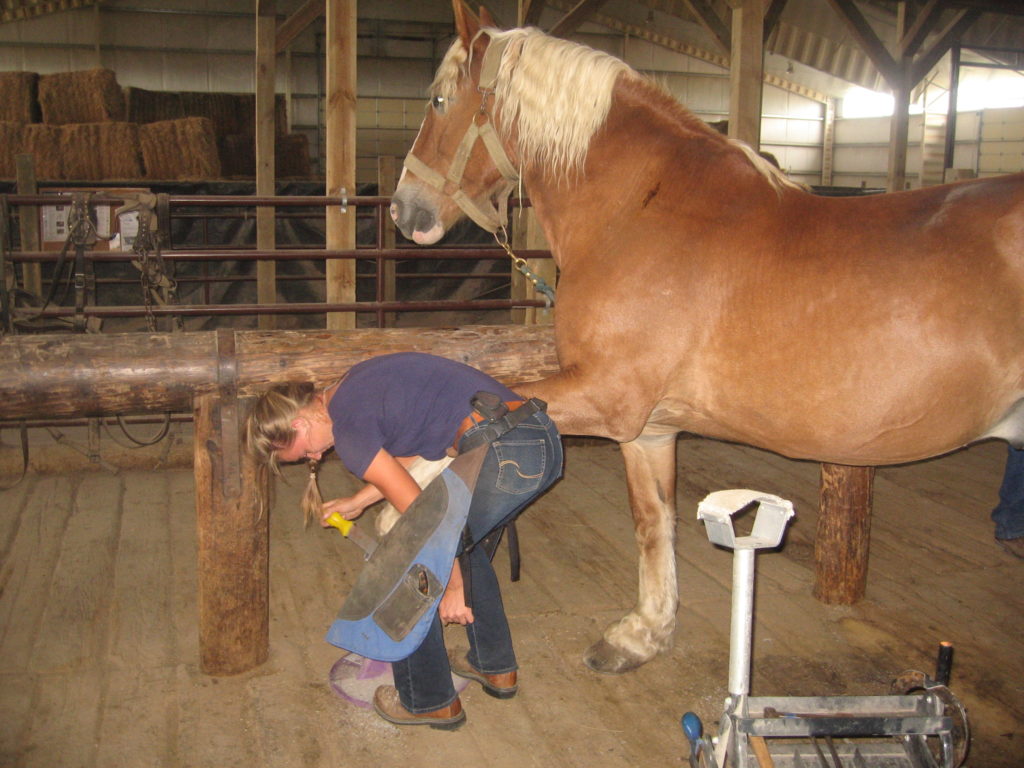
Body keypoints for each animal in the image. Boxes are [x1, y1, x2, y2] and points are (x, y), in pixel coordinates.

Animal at [387, 1, 1019, 671]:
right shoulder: (648, 428)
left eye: (436, 102)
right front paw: (644, 632)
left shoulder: (605, 395)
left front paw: (393, 517)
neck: (642, 210)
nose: (404, 210)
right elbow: (653, 521)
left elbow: (459, 434)